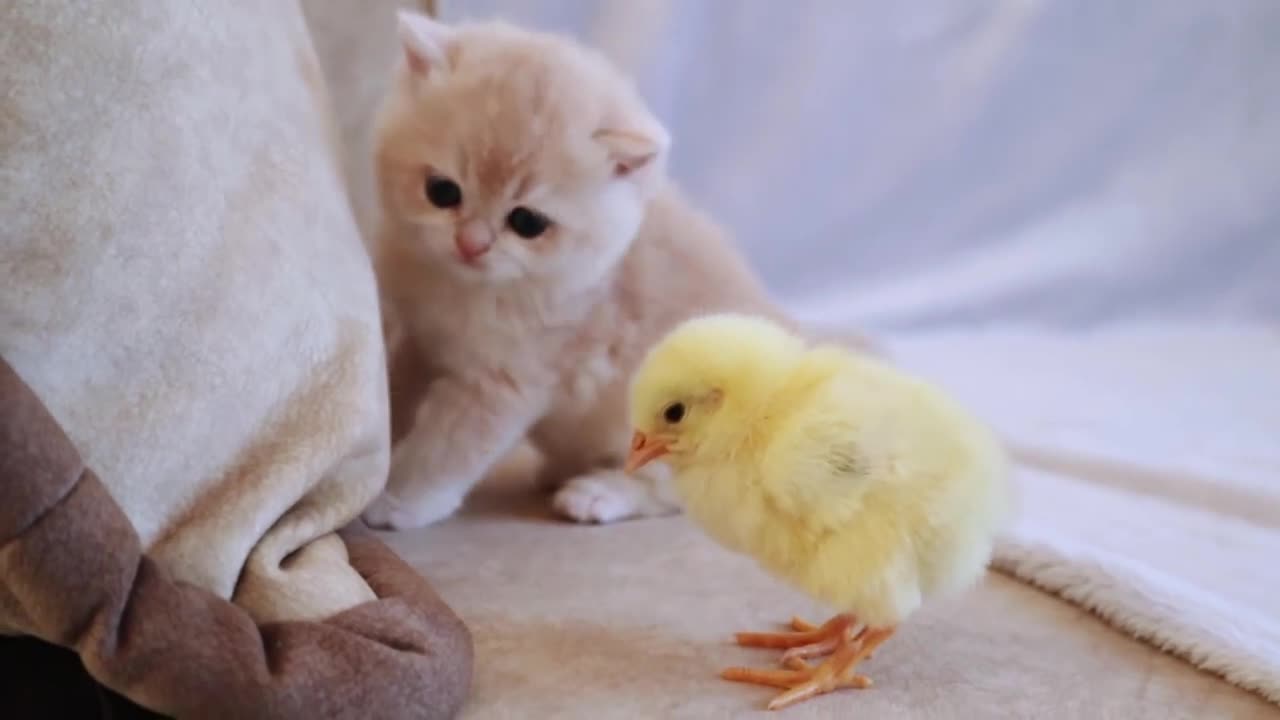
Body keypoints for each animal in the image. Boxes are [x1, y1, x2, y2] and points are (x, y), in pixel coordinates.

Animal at [360, 11, 860, 527]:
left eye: (527, 222)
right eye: (442, 191)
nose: (471, 244)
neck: (462, 288)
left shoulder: (503, 382)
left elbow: (442, 450)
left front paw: (397, 501)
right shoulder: (417, 338)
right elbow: (397, 391)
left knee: (677, 490)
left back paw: (597, 492)